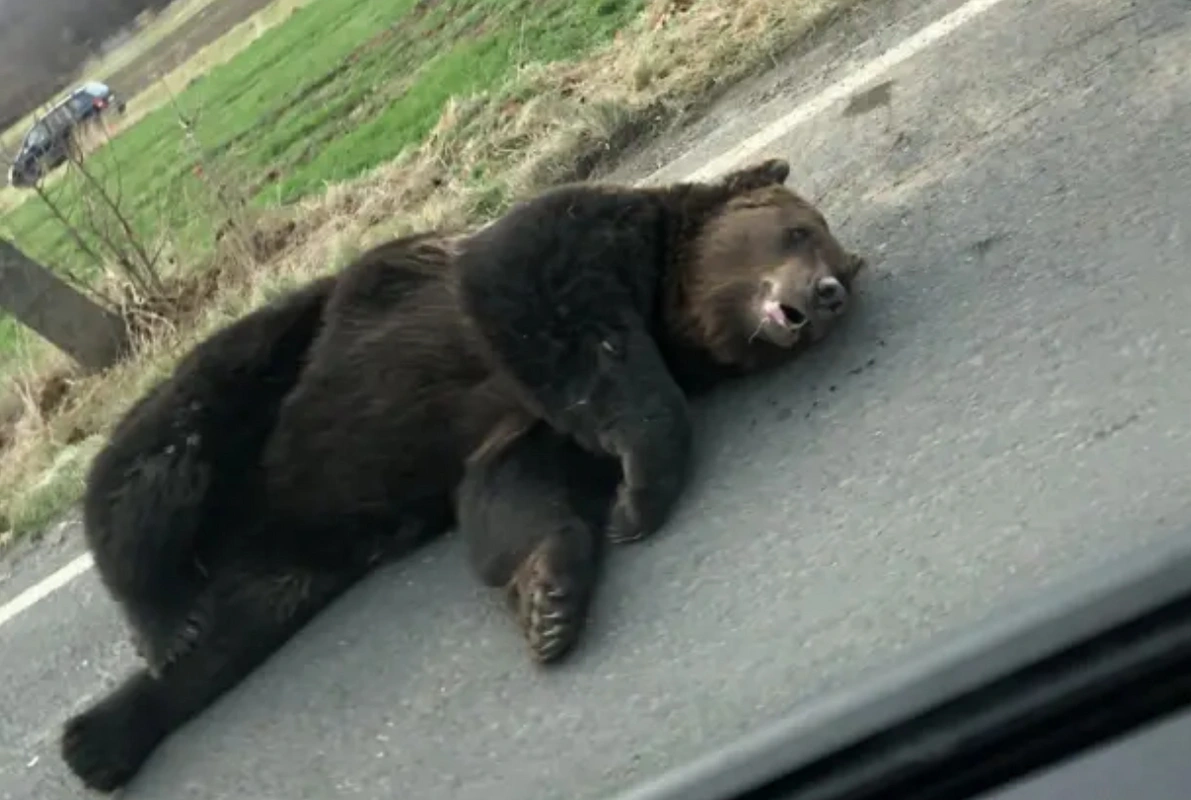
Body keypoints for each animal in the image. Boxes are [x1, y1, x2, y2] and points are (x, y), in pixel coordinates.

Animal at [60, 159, 867, 790]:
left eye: (835, 259)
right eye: (799, 230)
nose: (825, 292)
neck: (671, 307)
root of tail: (242, 532)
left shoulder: (526, 427)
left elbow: (511, 490)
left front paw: (549, 598)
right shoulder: (563, 253)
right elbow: (552, 309)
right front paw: (641, 494)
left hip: (300, 556)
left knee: (239, 625)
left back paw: (101, 737)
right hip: (262, 381)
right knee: (157, 459)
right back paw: (158, 617)